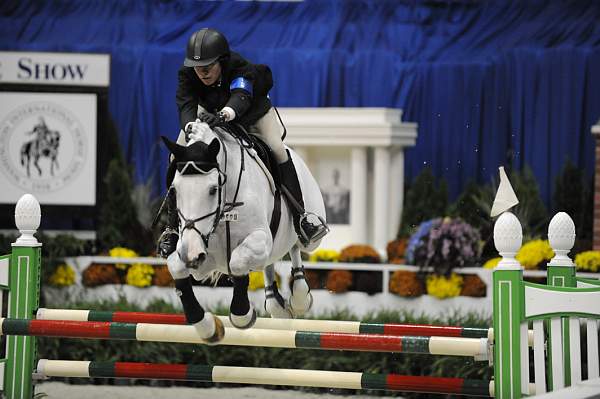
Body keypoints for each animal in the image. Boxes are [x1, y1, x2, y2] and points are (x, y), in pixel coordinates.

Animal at [162, 122, 326, 344]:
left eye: (213, 189)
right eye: (174, 190)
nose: (191, 254)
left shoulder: (258, 239)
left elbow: (238, 263)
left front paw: (242, 315)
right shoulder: (200, 256)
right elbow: (177, 267)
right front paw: (208, 327)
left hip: (307, 239)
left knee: (296, 246)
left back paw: (300, 296)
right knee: (271, 261)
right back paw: (277, 305)